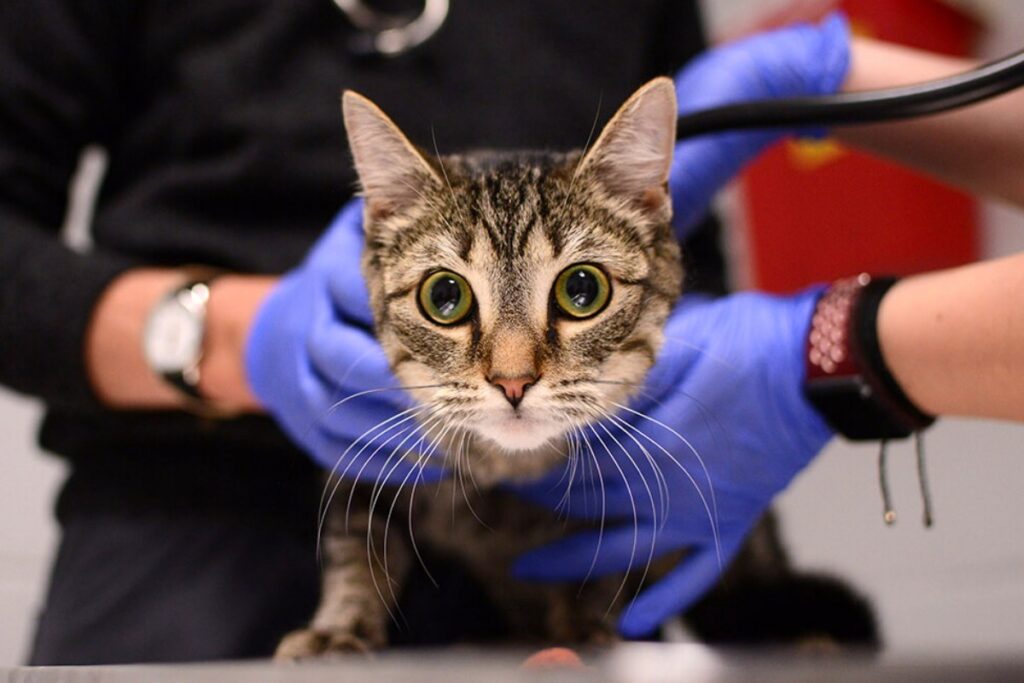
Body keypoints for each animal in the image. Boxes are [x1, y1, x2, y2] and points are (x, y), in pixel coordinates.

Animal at [276, 78, 876, 655]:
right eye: (444, 297)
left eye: (582, 290)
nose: (512, 380)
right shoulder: (360, 468)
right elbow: (357, 549)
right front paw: (341, 626)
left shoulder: (626, 509)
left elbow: (597, 569)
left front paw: (581, 629)